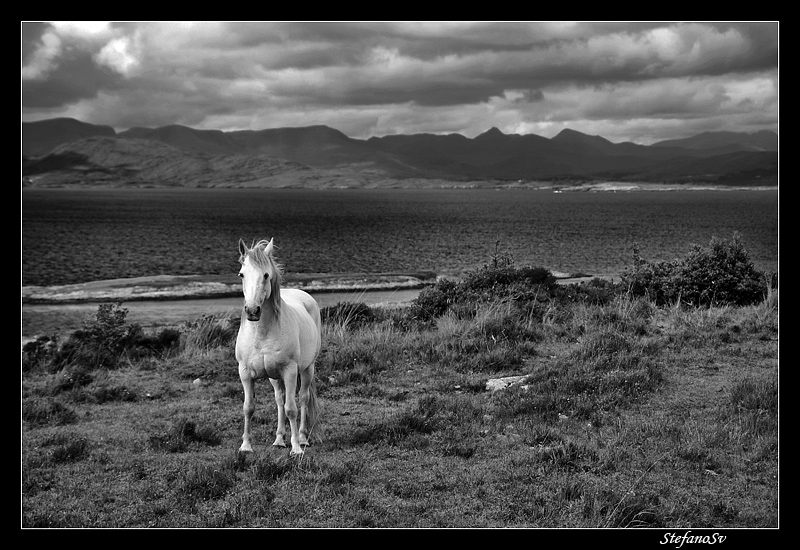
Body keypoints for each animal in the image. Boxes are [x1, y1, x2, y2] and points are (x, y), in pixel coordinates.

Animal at [234, 238, 322, 455]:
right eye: (241, 274)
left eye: (266, 275)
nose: (252, 310)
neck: (262, 332)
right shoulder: (245, 373)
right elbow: (248, 407)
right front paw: (246, 446)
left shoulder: (290, 371)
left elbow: (292, 408)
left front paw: (296, 448)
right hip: (274, 377)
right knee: (279, 400)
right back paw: (279, 440)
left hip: (307, 369)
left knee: (303, 398)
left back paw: (302, 438)